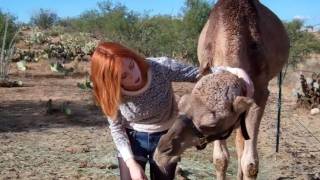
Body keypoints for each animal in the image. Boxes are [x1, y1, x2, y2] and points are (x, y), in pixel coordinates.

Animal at [152, 0, 290, 179]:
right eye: (180, 105)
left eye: (211, 124)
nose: (162, 152)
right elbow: (220, 159)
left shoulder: (260, 94)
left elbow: (250, 164)